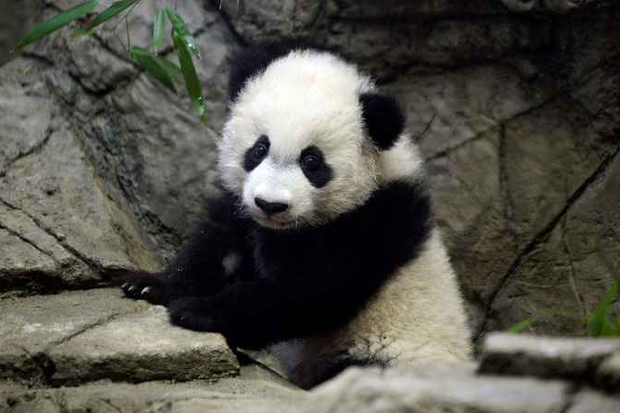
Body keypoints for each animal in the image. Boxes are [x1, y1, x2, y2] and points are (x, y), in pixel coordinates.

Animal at [121, 40, 470, 388]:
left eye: (312, 161)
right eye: (259, 148)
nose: (270, 204)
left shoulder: (375, 222)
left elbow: (304, 294)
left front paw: (197, 310)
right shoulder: (243, 210)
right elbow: (216, 246)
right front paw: (151, 286)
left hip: (394, 354)